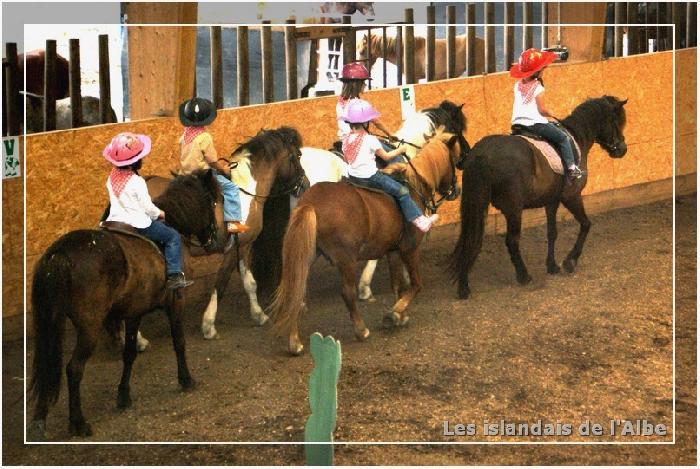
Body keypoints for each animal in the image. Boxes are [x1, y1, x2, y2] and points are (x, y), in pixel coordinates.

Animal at [28, 169, 220, 438]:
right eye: (212, 202)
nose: (213, 240)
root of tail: (59, 254)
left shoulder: (133, 312)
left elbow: (129, 354)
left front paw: (123, 396)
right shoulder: (175, 303)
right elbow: (179, 343)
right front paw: (186, 380)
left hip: (50, 321)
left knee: (47, 367)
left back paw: (39, 420)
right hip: (89, 327)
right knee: (74, 369)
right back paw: (78, 423)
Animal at [270, 128, 468, 354]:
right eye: (454, 159)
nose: (456, 190)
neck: (415, 184)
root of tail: (310, 204)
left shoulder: (393, 251)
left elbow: (398, 285)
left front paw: (400, 315)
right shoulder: (409, 249)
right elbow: (416, 284)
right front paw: (395, 313)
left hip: (307, 255)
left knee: (297, 289)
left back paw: (295, 341)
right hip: (346, 259)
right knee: (347, 293)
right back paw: (361, 330)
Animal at [452, 96, 632, 298]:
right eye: (616, 122)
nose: (622, 149)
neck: (576, 138)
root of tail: (481, 154)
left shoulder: (551, 201)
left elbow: (552, 232)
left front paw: (552, 266)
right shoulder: (571, 196)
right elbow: (586, 225)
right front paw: (570, 262)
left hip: (476, 205)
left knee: (469, 240)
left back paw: (464, 287)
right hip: (513, 209)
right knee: (511, 241)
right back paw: (523, 276)